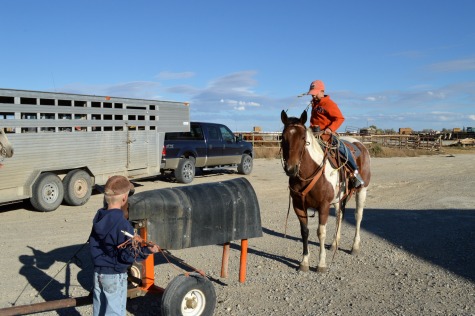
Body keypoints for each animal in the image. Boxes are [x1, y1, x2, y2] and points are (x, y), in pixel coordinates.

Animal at [282, 110, 372, 272]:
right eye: (282, 137)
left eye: (303, 138)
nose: (291, 169)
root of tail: (360, 144)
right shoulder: (298, 206)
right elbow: (304, 232)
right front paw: (304, 262)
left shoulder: (323, 206)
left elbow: (321, 232)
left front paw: (321, 264)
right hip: (339, 198)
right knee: (339, 215)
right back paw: (335, 243)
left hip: (362, 190)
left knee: (358, 216)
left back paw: (355, 247)